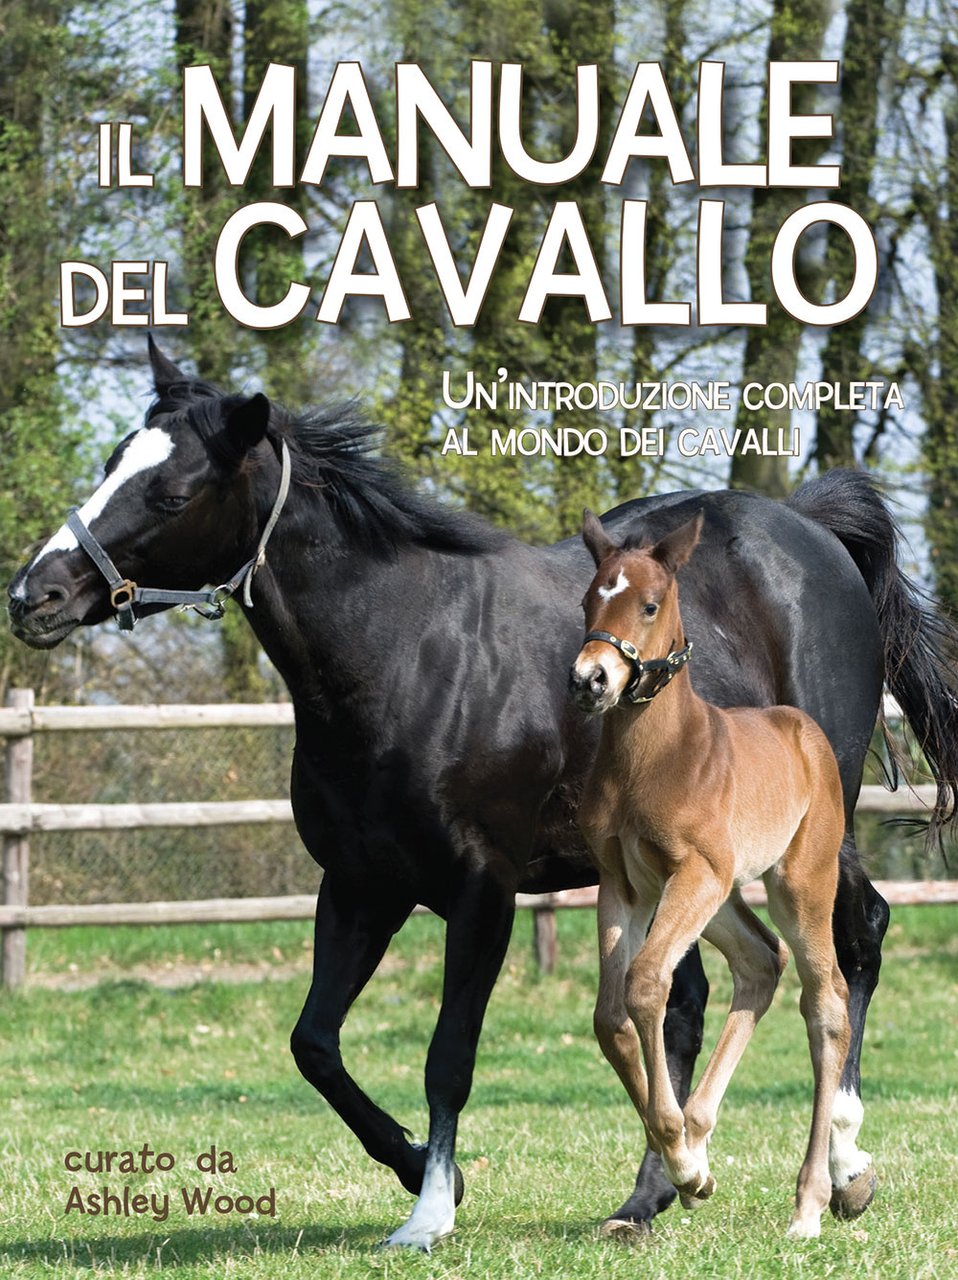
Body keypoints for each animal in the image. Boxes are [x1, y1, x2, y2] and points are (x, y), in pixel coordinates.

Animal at [571, 509, 851, 1238]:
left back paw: (809, 1204)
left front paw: (681, 1160)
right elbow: (610, 1016)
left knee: (826, 1002)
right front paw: (689, 1165)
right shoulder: (622, 884)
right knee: (760, 962)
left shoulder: (691, 873)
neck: (658, 757)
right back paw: (700, 1132)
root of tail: (803, 729)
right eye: (587, 600)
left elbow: (647, 985)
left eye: (648, 603)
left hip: (794, 883)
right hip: (720, 897)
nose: (590, 681)